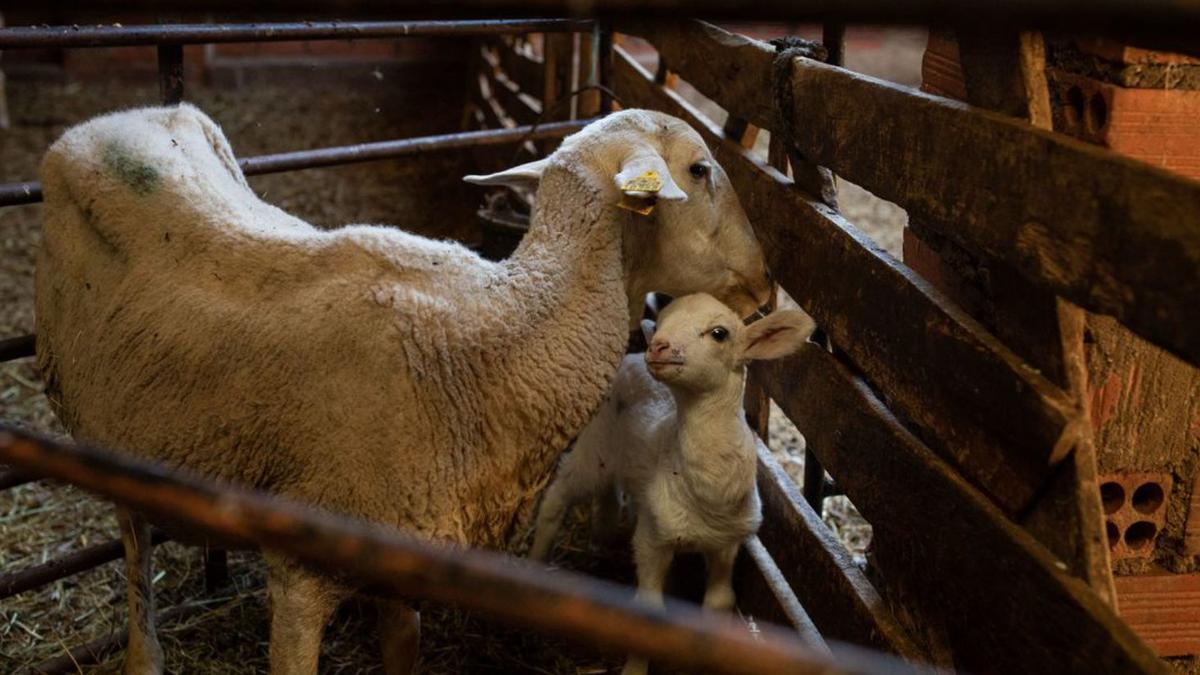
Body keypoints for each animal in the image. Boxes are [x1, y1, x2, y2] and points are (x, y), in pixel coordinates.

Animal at [37, 105, 772, 672]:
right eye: (701, 170)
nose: (767, 281)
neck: (498, 336)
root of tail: (117, 118)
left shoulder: (405, 555)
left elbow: (403, 648)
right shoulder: (298, 574)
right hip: (99, 421)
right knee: (134, 541)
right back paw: (144, 656)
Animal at [530, 291, 811, 667]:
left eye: (719, 333)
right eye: (662, 320)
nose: (658, 345)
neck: (706, 494)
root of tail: (633, 357)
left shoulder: (726, 544)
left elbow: (719, 601)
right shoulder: (652, 540)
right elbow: (650, 611)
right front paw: (635, 669)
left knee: (610, 495)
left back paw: (601, 537)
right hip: (595, 444)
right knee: (557, 496)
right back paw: (535, 563)